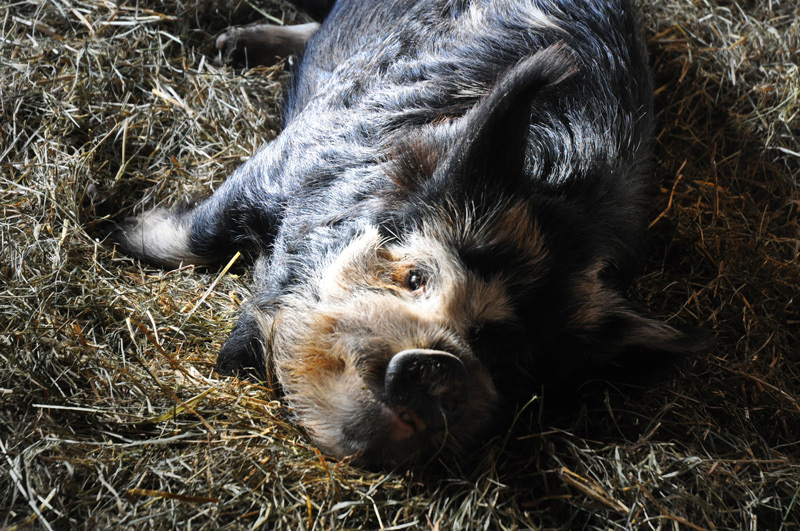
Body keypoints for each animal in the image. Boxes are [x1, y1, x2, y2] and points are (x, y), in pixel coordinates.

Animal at [114, 0, 711, 467]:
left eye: (508, 359)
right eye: (416, 275)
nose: (443, 368)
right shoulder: (293, 156)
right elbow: (196, 235)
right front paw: (120, 231)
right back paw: (226, 46)